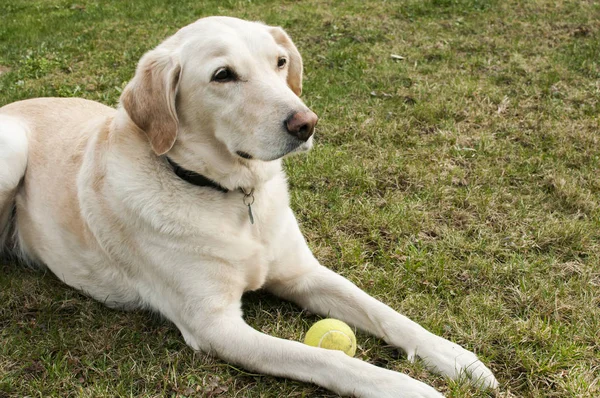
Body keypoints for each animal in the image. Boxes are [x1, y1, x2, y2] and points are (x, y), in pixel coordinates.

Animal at [0, 17, 496, 396]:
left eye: (280, 62)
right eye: (223, 75)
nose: (306, 123)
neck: (235, 196)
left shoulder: (304, 274)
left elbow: (386, 313)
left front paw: (457, 358)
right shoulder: (217, 326)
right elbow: (326, 358)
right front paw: (405, 387)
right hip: (12, 150)